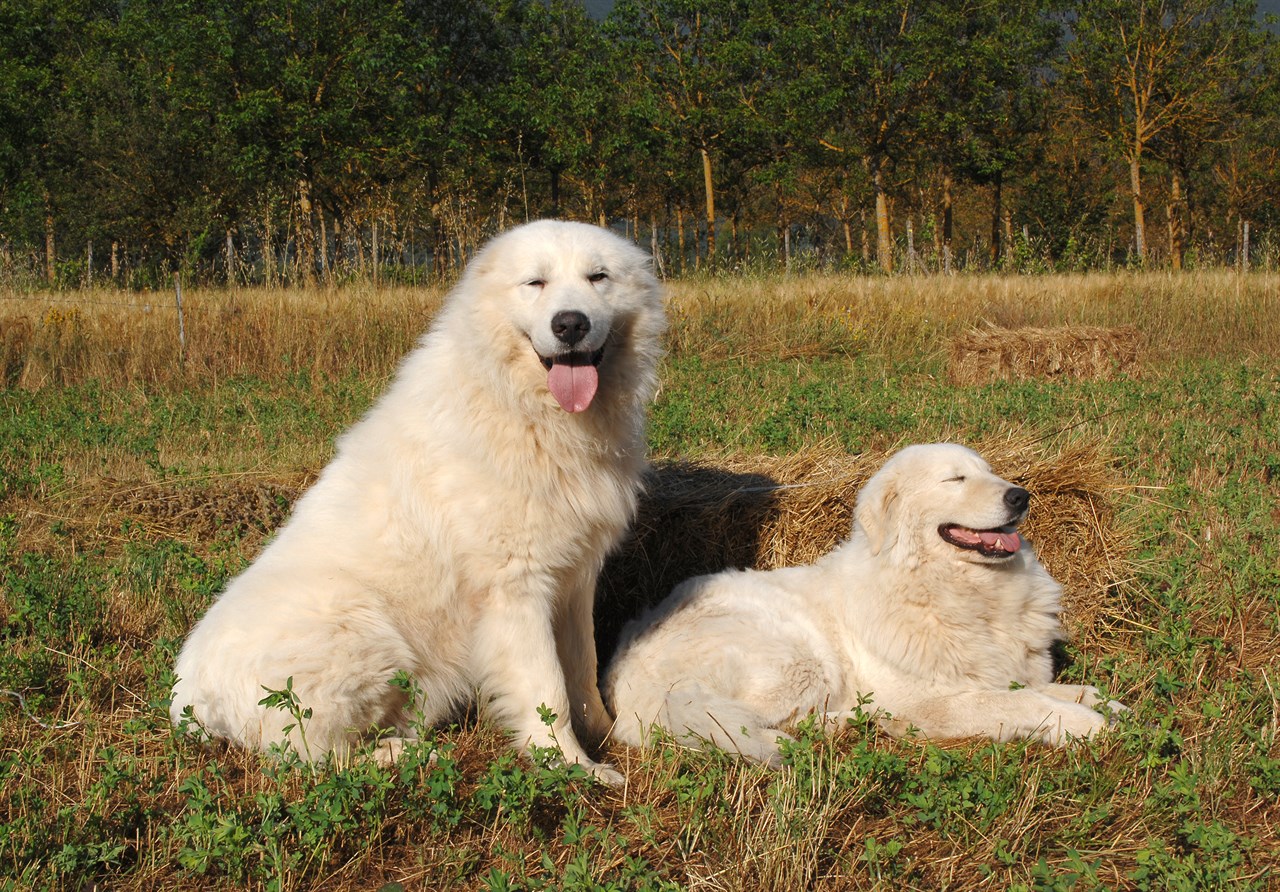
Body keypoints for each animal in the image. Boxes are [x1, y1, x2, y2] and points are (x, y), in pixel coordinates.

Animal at [171, 221, 665, 778]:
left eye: (597, 277)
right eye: (535, 283)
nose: (571, 324)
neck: (523, 406)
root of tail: (191, 702)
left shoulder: (573, 579)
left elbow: (582, 670)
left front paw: (615, 736)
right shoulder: (516, 588)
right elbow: (548, 692)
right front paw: (572, 765)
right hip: (366, 629)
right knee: (319, 756)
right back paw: (409, 753)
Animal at [604, 442, 1126, 762]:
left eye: (990, 472)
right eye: (956, 479)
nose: (1021, 496)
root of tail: (623, 671)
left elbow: (1045, 689)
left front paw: (1099, 701)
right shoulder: (932, 704)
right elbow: (1022, 703)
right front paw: (1084, 723)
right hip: (797, 661)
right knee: (756, 721)